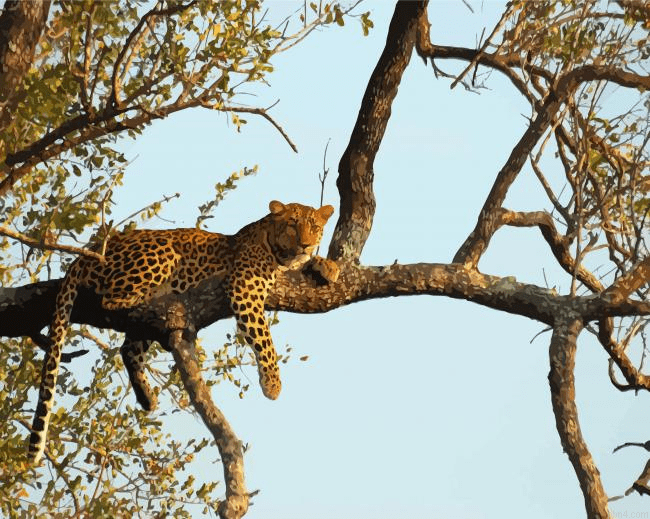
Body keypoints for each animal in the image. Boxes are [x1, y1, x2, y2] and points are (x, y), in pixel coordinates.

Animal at [28, 200, 339, 464]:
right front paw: (273, 384)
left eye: (314, 227)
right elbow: (265, 340)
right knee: (111, 299)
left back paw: (146, 397)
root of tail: (90, 252)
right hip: (162, 252)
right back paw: (154, 295)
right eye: (292, 224)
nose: (305, 244)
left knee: (128, 348)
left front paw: (328, 265)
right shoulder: (245, 289)